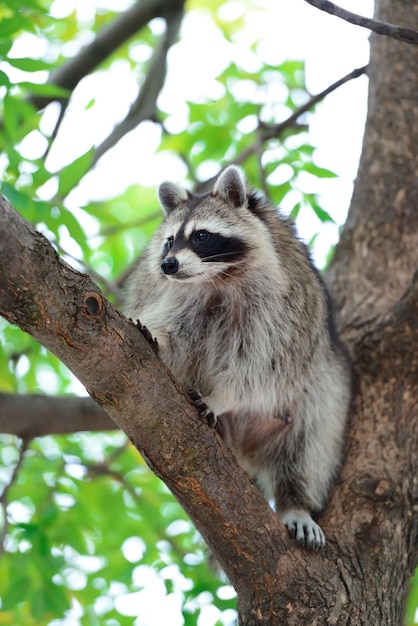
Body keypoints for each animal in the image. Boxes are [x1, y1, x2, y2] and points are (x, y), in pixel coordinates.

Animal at [125, 165, 352, 544]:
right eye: (170, 240)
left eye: (202, 236)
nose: (168, 264)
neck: (216, 277)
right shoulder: (178, 297)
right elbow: (177, 336)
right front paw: (156, 336)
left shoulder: (285, 309)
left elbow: (264, 369)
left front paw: (223, 396)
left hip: (323, 394)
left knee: (308, 447)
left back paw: (296, 503)